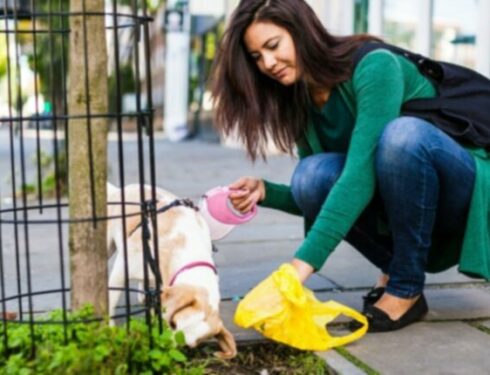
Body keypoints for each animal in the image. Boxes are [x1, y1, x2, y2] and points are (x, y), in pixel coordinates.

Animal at [106, 184, 237, 360]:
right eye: (173, 323)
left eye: (186, 345)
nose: (161, 348)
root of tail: (121, 189)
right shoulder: (121, 271)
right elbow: (111, 302)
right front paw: (108, 329)